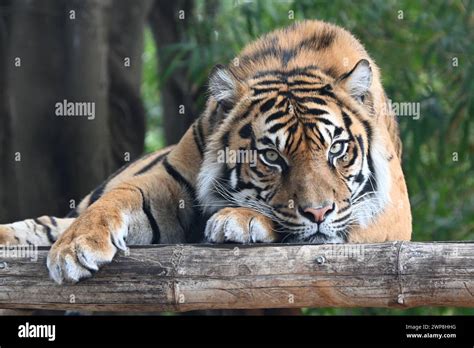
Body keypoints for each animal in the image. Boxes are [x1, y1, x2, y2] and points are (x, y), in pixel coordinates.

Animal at [0, 19, 412, 286]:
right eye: (272, 157)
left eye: (337, 149)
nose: (318, 213)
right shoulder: (168, 180)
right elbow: (121, 197)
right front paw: (76, 247)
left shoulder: (393, 212)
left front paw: (239, 219)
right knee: (50, 222)